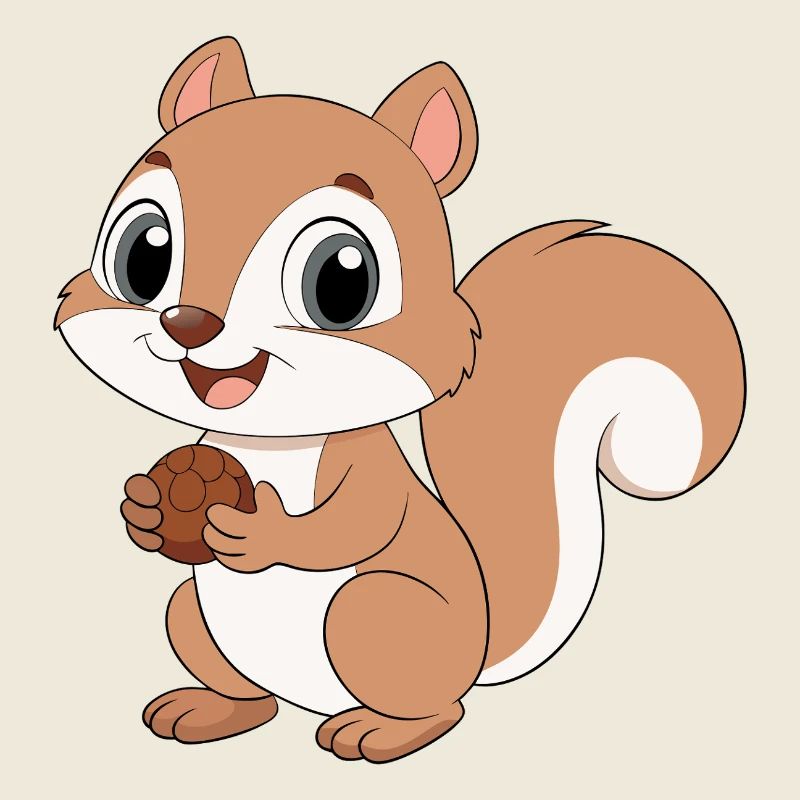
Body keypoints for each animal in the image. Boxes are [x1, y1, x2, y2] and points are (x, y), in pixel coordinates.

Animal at [56, 37, 745, 763]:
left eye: (342, 279)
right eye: (143, 253)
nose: (187, 323)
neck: (267, 439)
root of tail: (476, 656)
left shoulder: (366, 468)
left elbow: (354, 525)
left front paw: (260, 531)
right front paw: (145, 510)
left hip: (374, 614)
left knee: (439, 708)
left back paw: (376, 730)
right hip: (192, 616)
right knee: (250, 691)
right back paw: (212, 709)